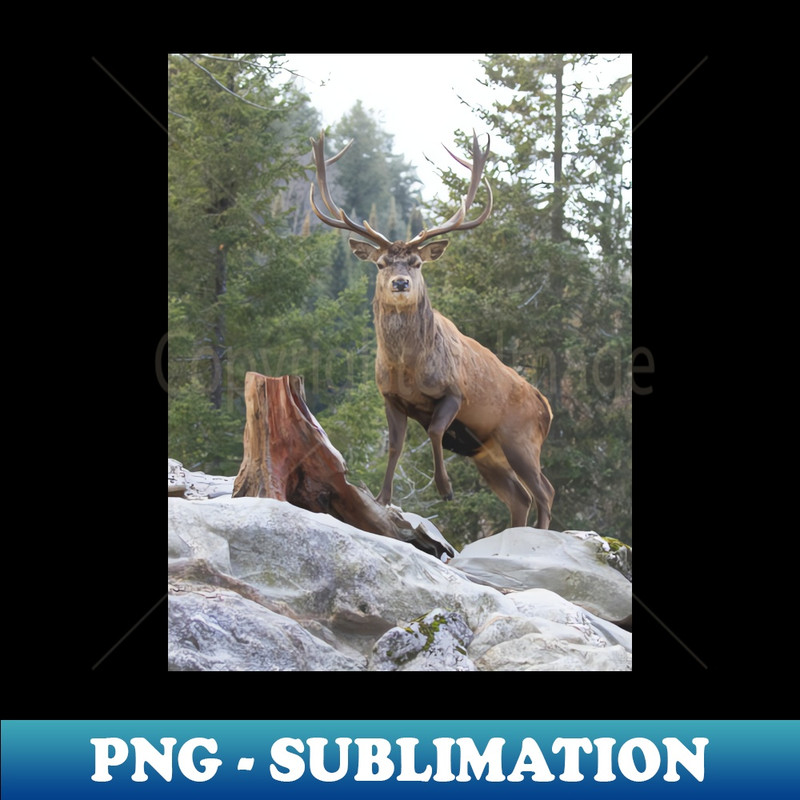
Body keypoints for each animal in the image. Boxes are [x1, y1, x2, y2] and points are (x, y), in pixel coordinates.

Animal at [308, 131, 555, 531]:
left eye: (417, 262)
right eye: (381, 263)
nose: (401, 283)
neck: (408, 367)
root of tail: (546, 407)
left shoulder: (455, 391)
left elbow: (436, 430)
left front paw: (445, 488)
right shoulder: (390, 397)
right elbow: (395, 446)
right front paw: (382, 499)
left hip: (521, 438)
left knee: (545, 491)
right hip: (489, 453)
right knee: (521, 497)